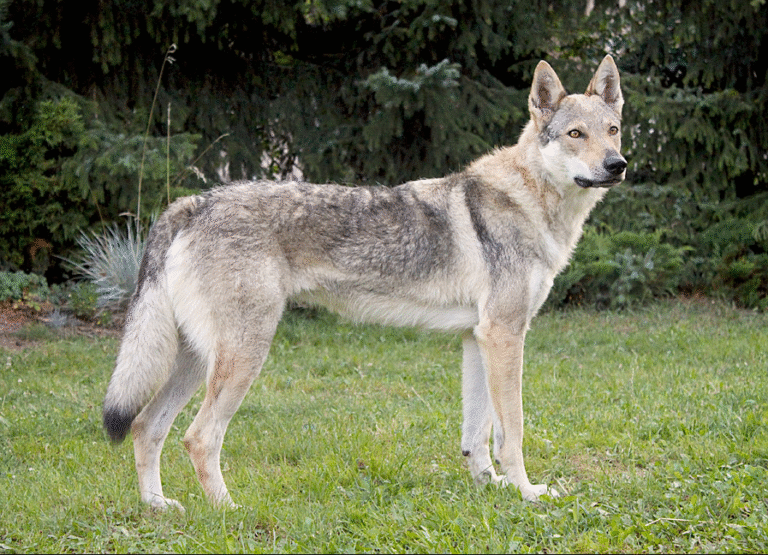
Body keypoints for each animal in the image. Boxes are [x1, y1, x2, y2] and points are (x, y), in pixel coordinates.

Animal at [102, 55, 626, 510]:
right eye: (575, 134)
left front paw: (489, 487)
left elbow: (476, 436)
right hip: (243, 355)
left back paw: (158, 506)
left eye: (613, 131)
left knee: (146, 426)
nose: (617, 165)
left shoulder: (478, 338)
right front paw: (527, 493)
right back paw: (228, 510)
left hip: (196, 360)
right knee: (198, 437)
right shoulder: (505, 335)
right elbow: (511, 431)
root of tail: (195, 202)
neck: (531, 199)